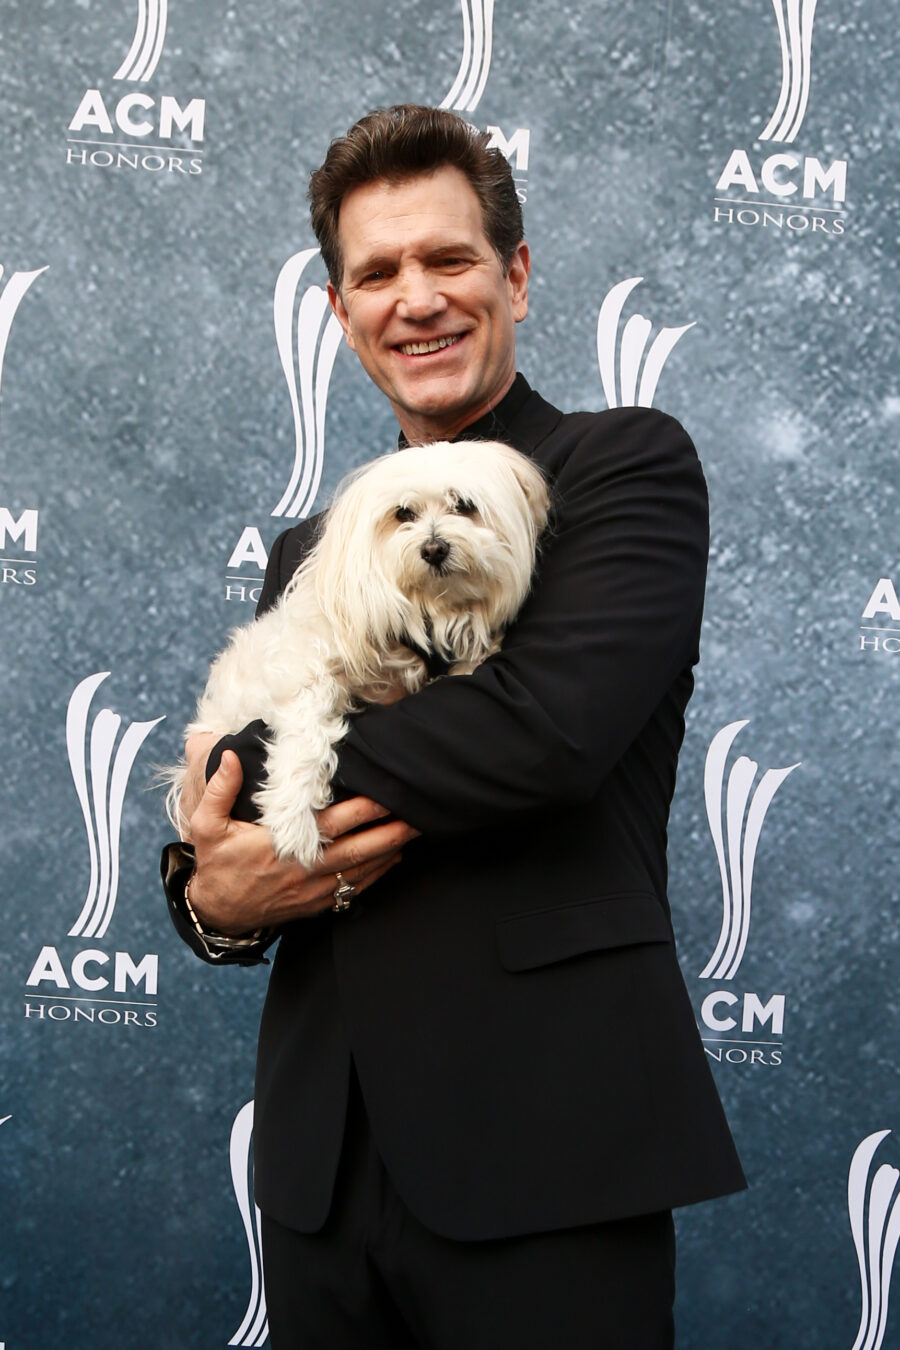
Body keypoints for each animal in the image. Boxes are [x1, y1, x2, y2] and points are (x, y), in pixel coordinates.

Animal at [167, 437, 550, 869]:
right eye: (403, 513)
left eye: (464, 505)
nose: (435, 548)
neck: (423, 608)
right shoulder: (306, 664)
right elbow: (306, 733)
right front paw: (293, 819)